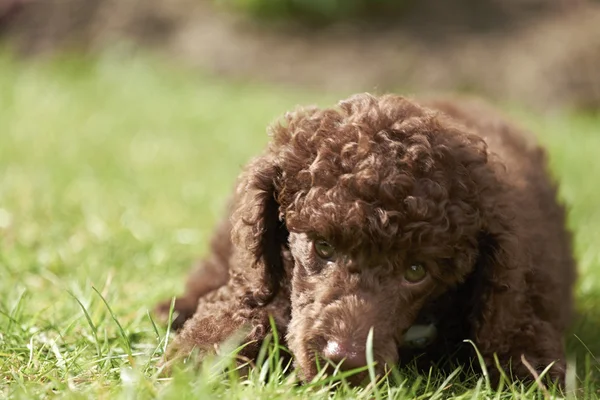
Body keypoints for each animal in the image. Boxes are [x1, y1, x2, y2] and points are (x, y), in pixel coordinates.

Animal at [156, 93, 576, 384]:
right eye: (323, 247)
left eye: (416, 271)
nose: (344, 361)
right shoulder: (261, 279)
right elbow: (234, 312)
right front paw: (194, 364)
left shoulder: (521, 309)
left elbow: (523, 351)